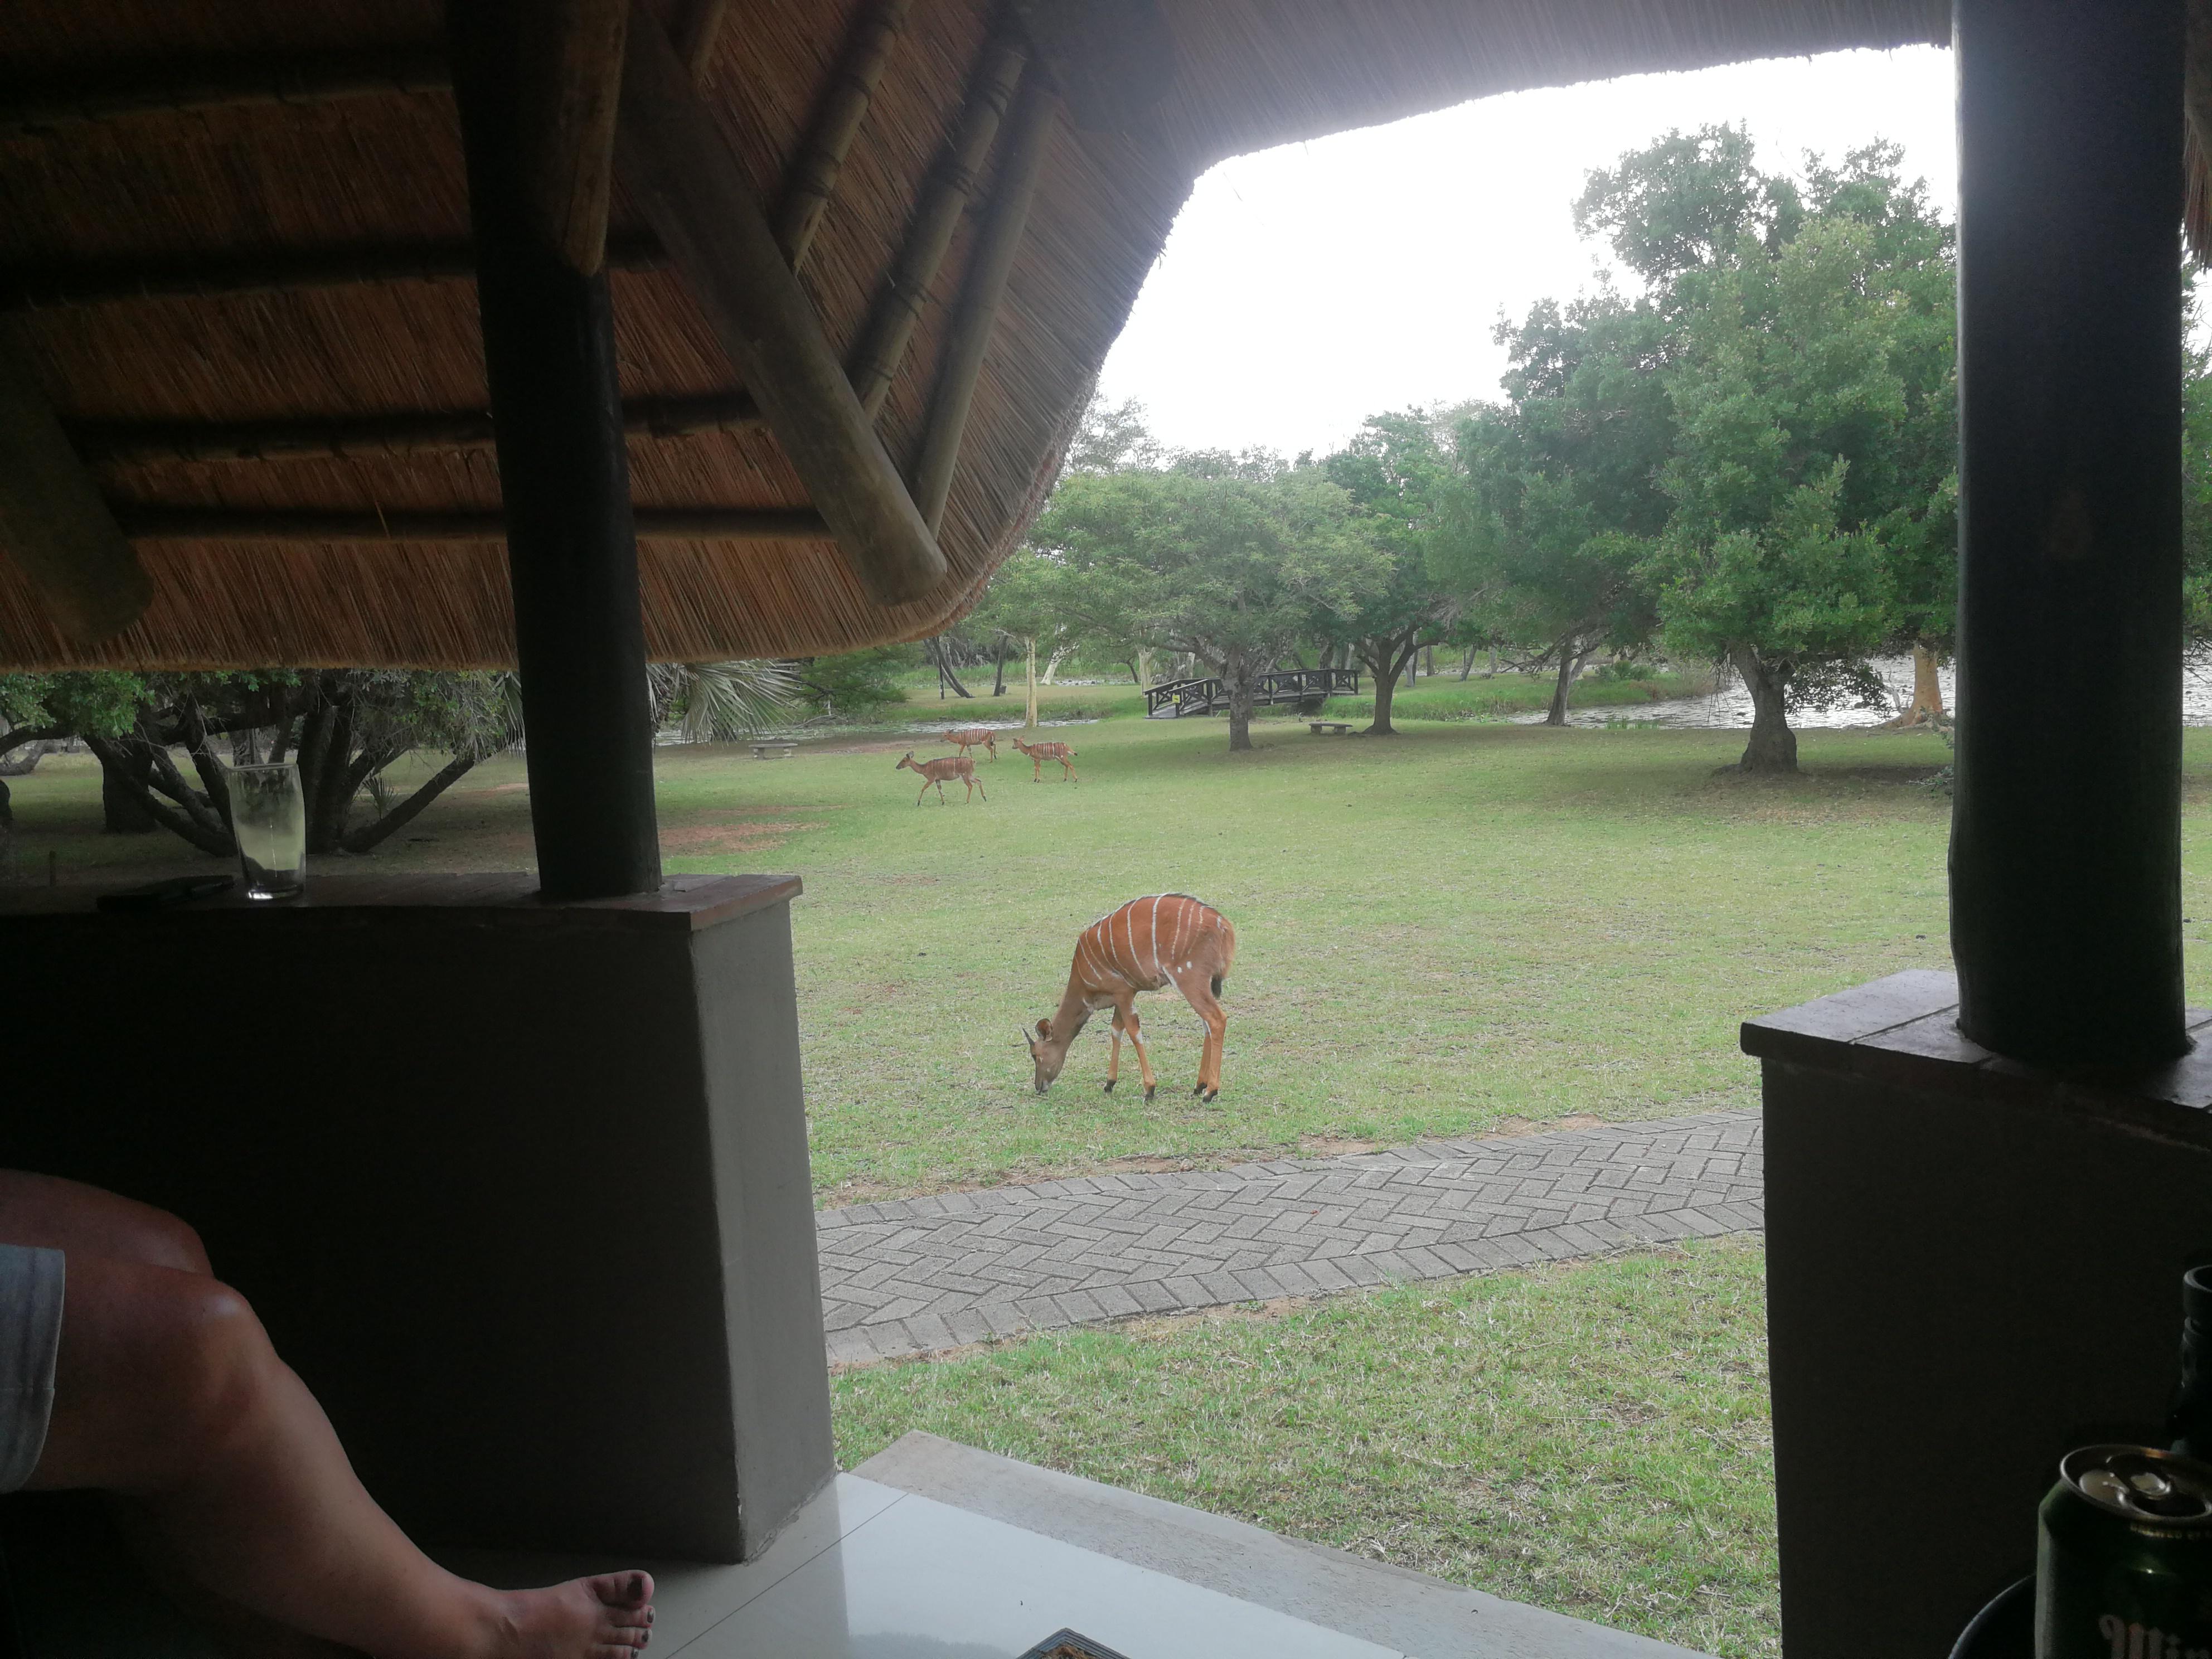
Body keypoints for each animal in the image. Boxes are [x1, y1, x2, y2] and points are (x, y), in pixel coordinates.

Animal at [889, 752, 986, 805]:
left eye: (904, 760)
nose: (897, 767)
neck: (924, 769)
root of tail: (973, 761)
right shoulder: (937, 779)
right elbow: (940, 790)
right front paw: (943, 803)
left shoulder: (931, 779)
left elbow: (923, 788)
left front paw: (918, 803)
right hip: (969, 775)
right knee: (979, 781)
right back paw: (985, 798)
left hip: (964, 775)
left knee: (970, 786)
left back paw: (967, 801)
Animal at [1026, 898, 1239, 1106]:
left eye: (1035, 1055)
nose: (1039, 1087)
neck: (1084, 981)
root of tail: (1224, 926)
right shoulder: (1124, 995)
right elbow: (1116, 1030)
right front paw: (1109, 1083)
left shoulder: (1123, 992)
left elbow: (1133, 1032)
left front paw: (1149, 1090)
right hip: (1203, 984)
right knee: (1207, 1024)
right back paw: (1199, 1086)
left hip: (1189, 979)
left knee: (1216, 1019)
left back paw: (1210, 1092)